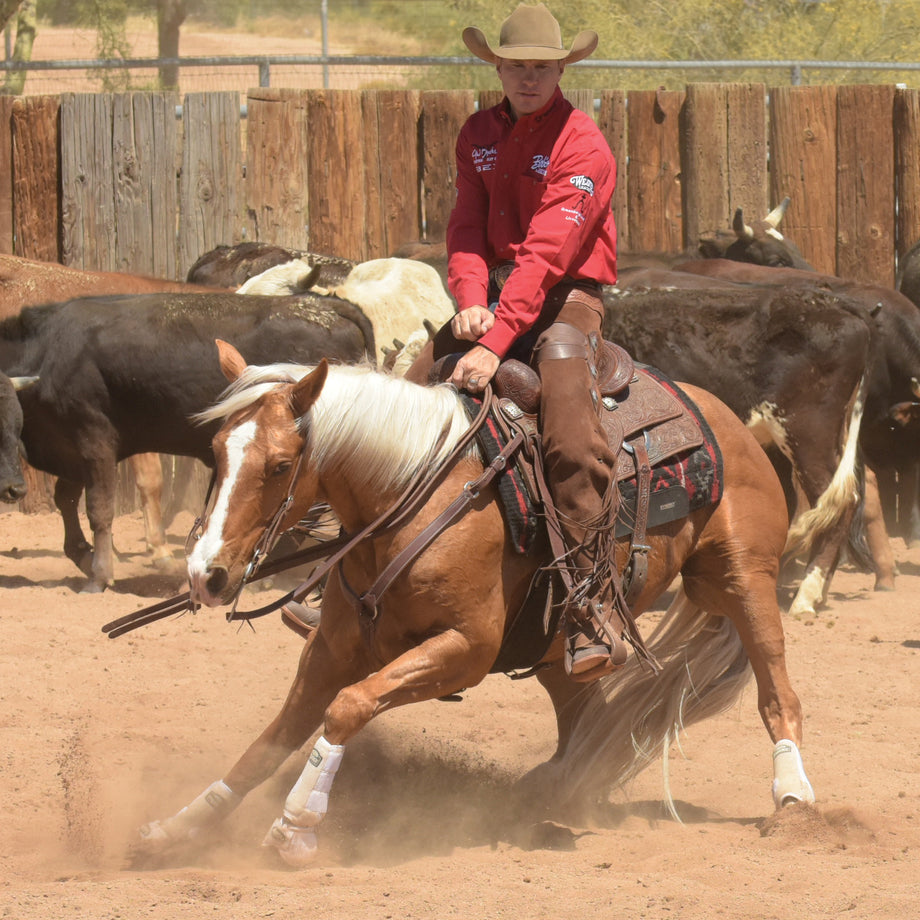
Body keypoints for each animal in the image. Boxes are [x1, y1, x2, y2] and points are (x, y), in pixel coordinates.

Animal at [0, 292, 374, 588]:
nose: (14, 489)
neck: (48, 349)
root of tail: (328, 304)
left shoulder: (95, 441)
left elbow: (99, 509)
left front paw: (101, 574)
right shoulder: (70, 449)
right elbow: (66, 500)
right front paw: (82, 555)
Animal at [135, 342, 812, 868]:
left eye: (280, 465)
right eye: (217, 449)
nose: (206, 574)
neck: (410, 498)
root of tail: (729, 421)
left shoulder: (463, 650)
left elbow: (348, 707)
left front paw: (296, 825)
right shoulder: (332, 650)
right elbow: (271, 741)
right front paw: (179, 828)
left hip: (745, 580)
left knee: (777, 692)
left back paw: (794, 800)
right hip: (555, 644)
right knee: (587, 719)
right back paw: (554, 791)